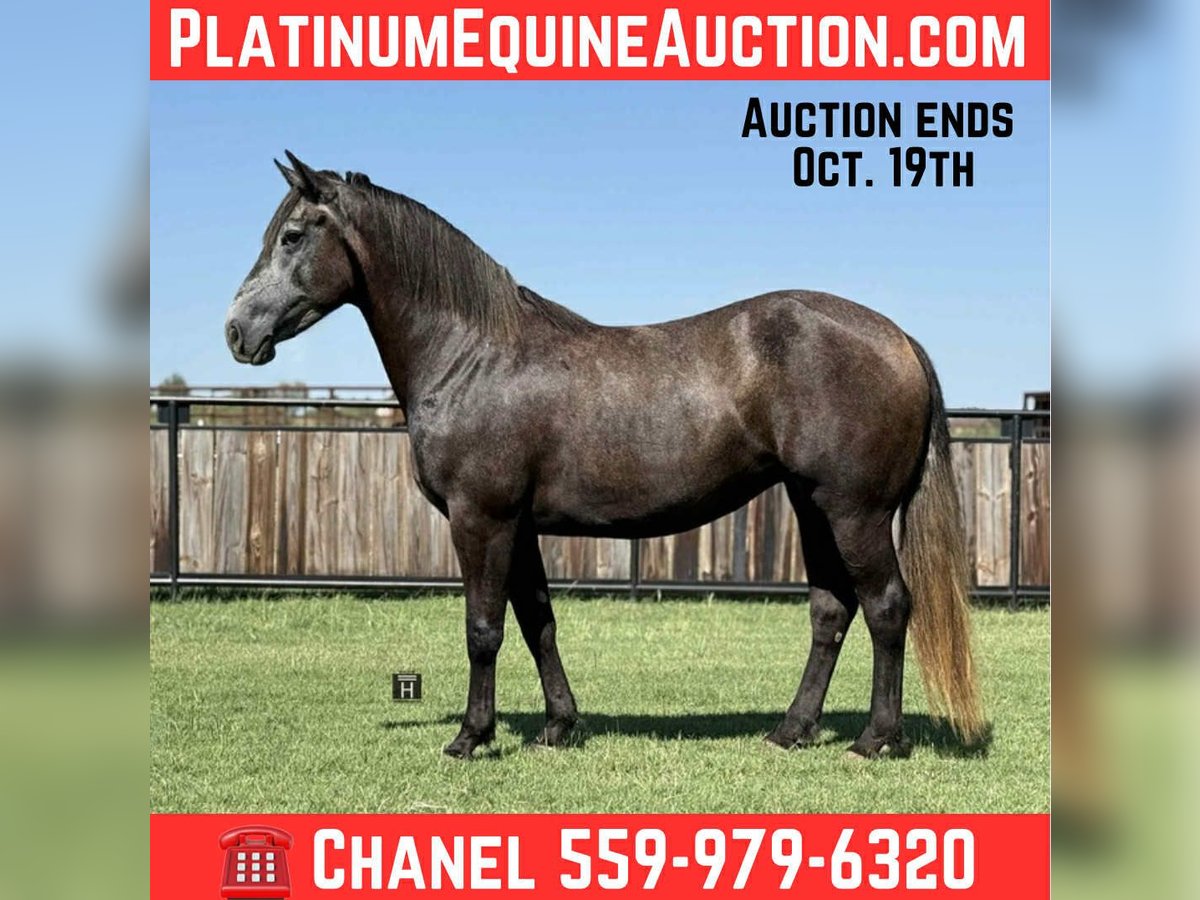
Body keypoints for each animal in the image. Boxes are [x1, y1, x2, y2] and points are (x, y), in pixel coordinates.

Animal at [225, 152, 983, 760]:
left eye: (292, 236)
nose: (237, 331)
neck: (472, 355)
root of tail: (898, 338)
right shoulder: (519, 526)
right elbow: (537, 621)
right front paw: (559, 727)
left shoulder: (481, 518)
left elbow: (483, 629)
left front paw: (472, 737)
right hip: (813, 505)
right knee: (831, 610)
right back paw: (791, 730)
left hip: (855, 511)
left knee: (887, 606)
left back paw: (877, 739)